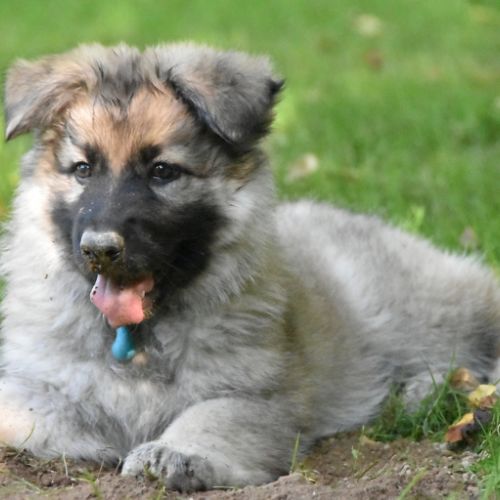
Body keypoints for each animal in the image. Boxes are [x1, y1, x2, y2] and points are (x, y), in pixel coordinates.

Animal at [1, 43, 499, 492]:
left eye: (163, 171)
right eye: (83, 169)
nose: (100, 248)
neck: (137, 338)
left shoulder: (254, 396)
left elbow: (209, 418)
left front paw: (174, 453)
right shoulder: (40, 381)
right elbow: (33, 410)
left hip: (420, 309)